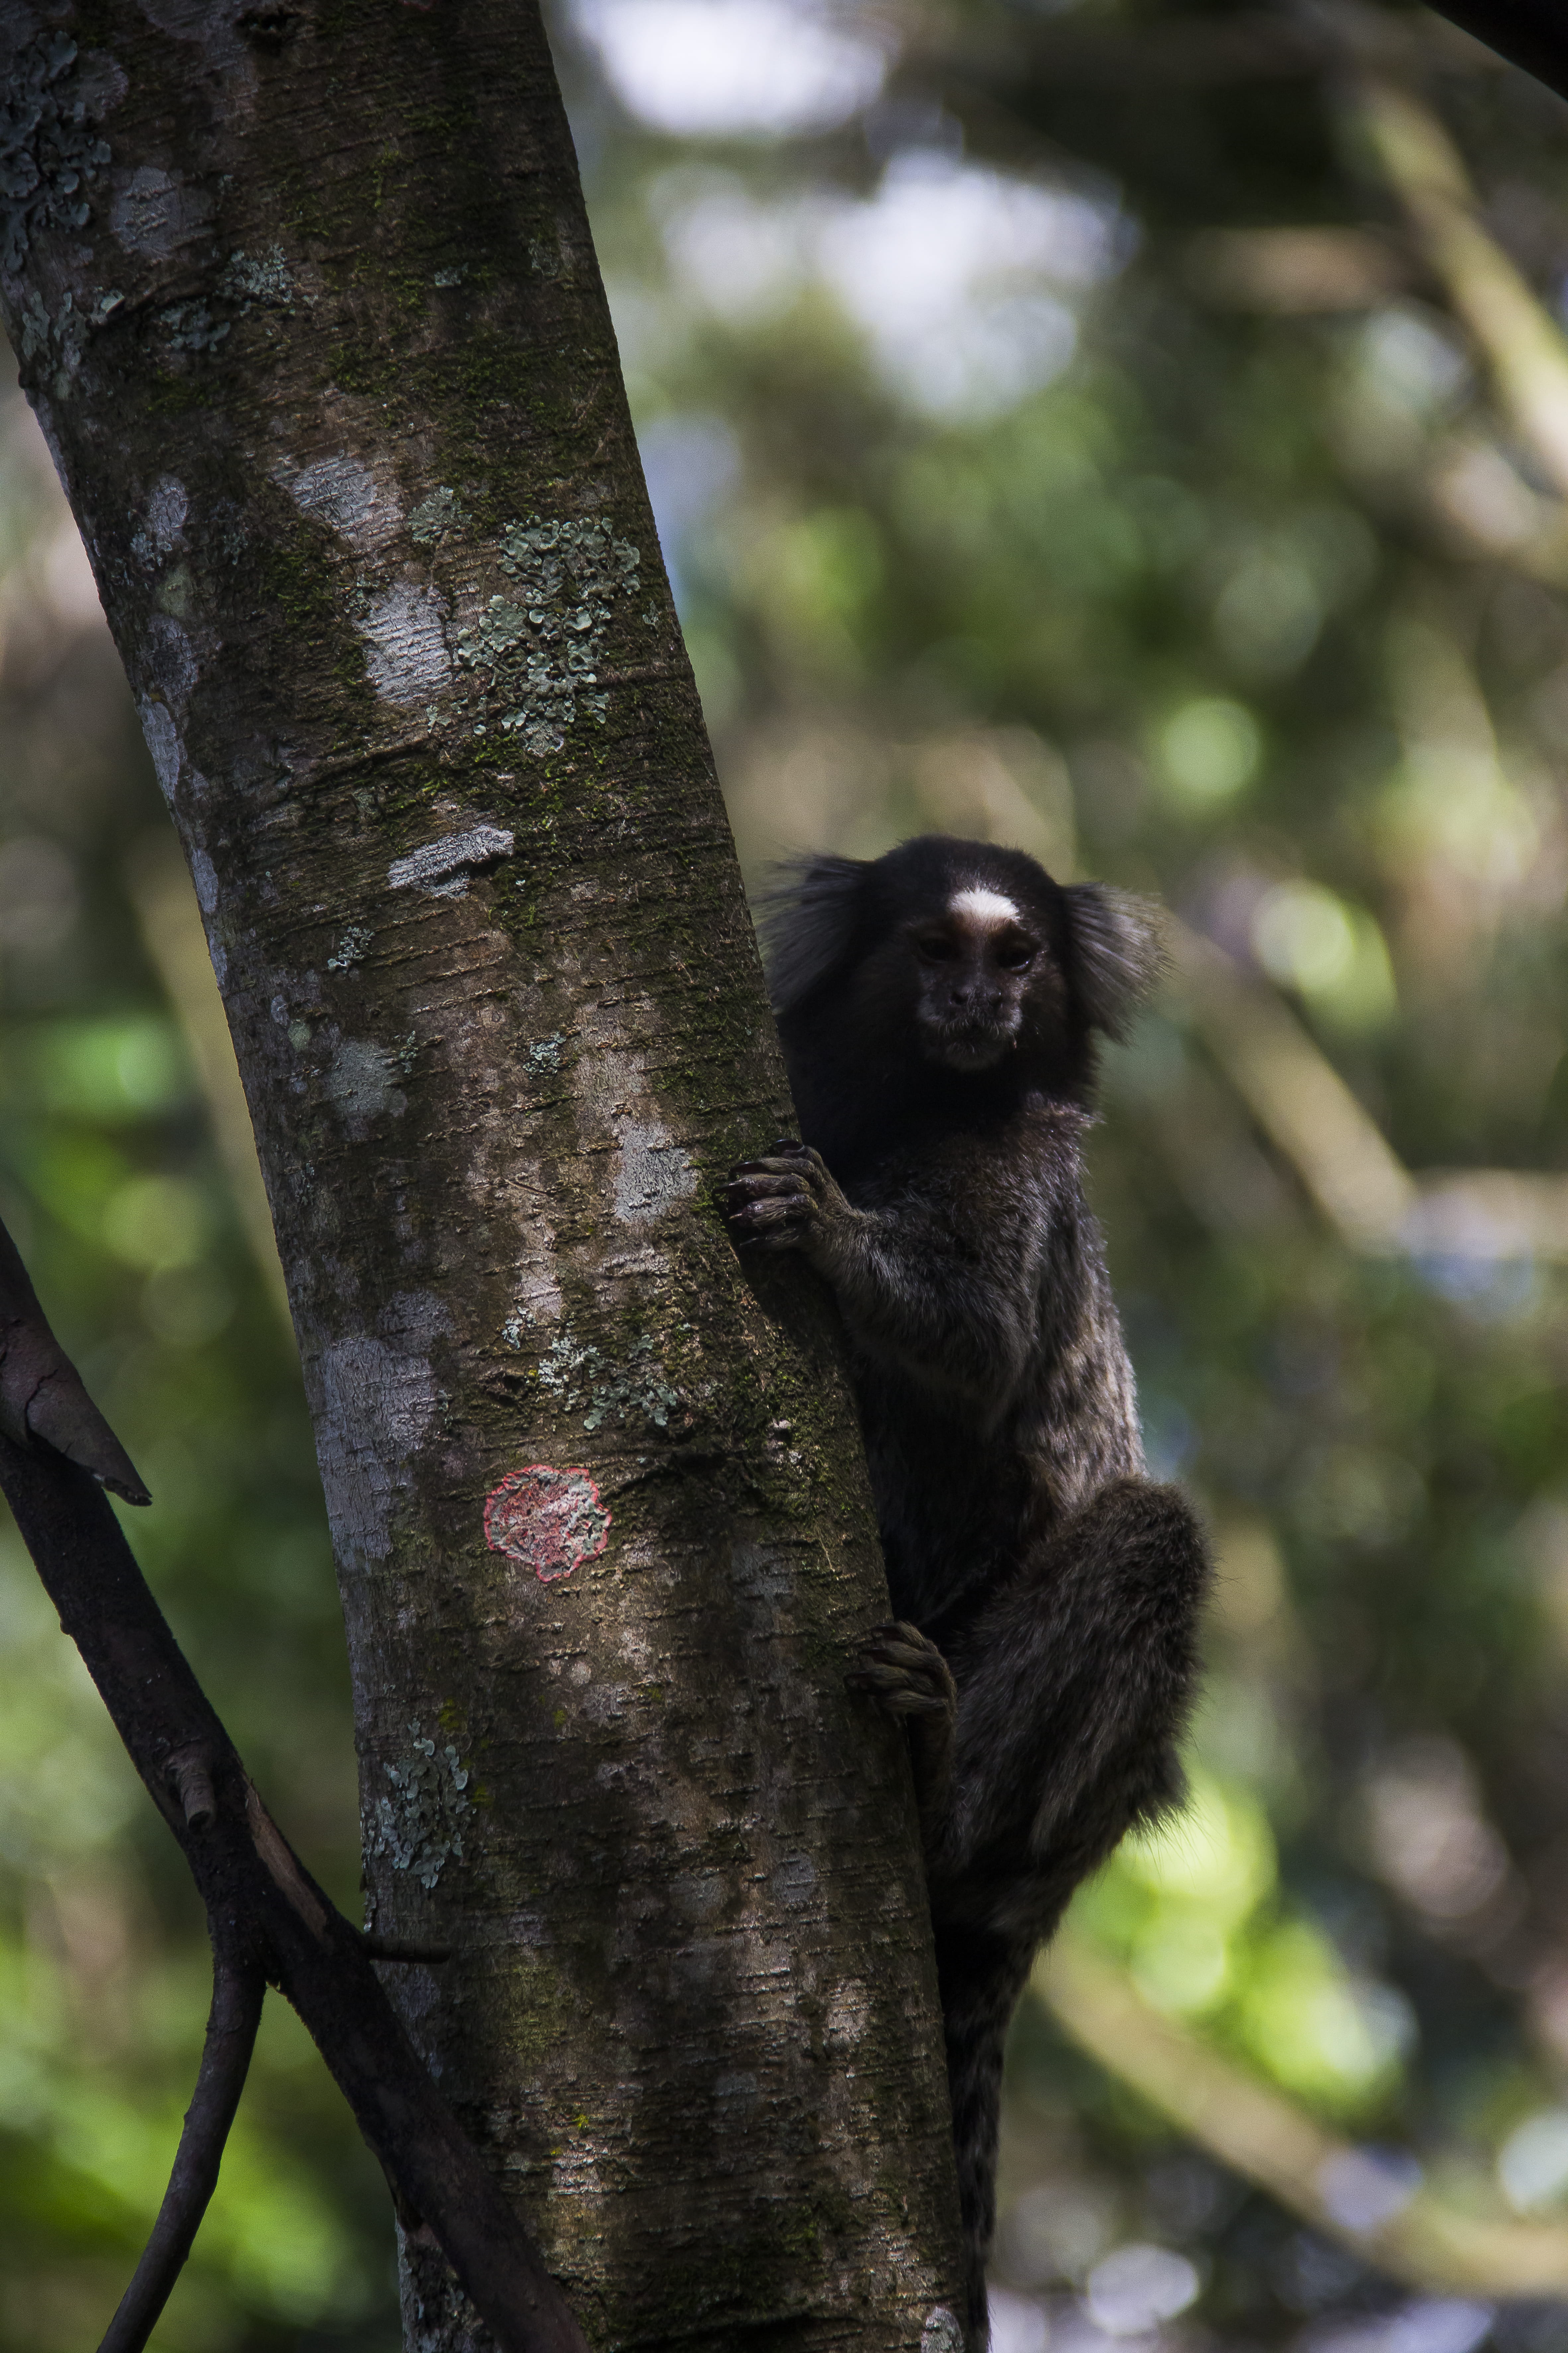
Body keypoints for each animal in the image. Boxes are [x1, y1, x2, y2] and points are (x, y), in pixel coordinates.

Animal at [722, 834, 1210, 2347]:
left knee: (1151, 1539)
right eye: (935, 947)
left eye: (1019, 956)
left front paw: (830, 1234)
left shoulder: (1028, 1163)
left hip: (1060, 1803)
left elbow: (981, 1337)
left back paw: (940, 1782)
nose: (977, 1003)